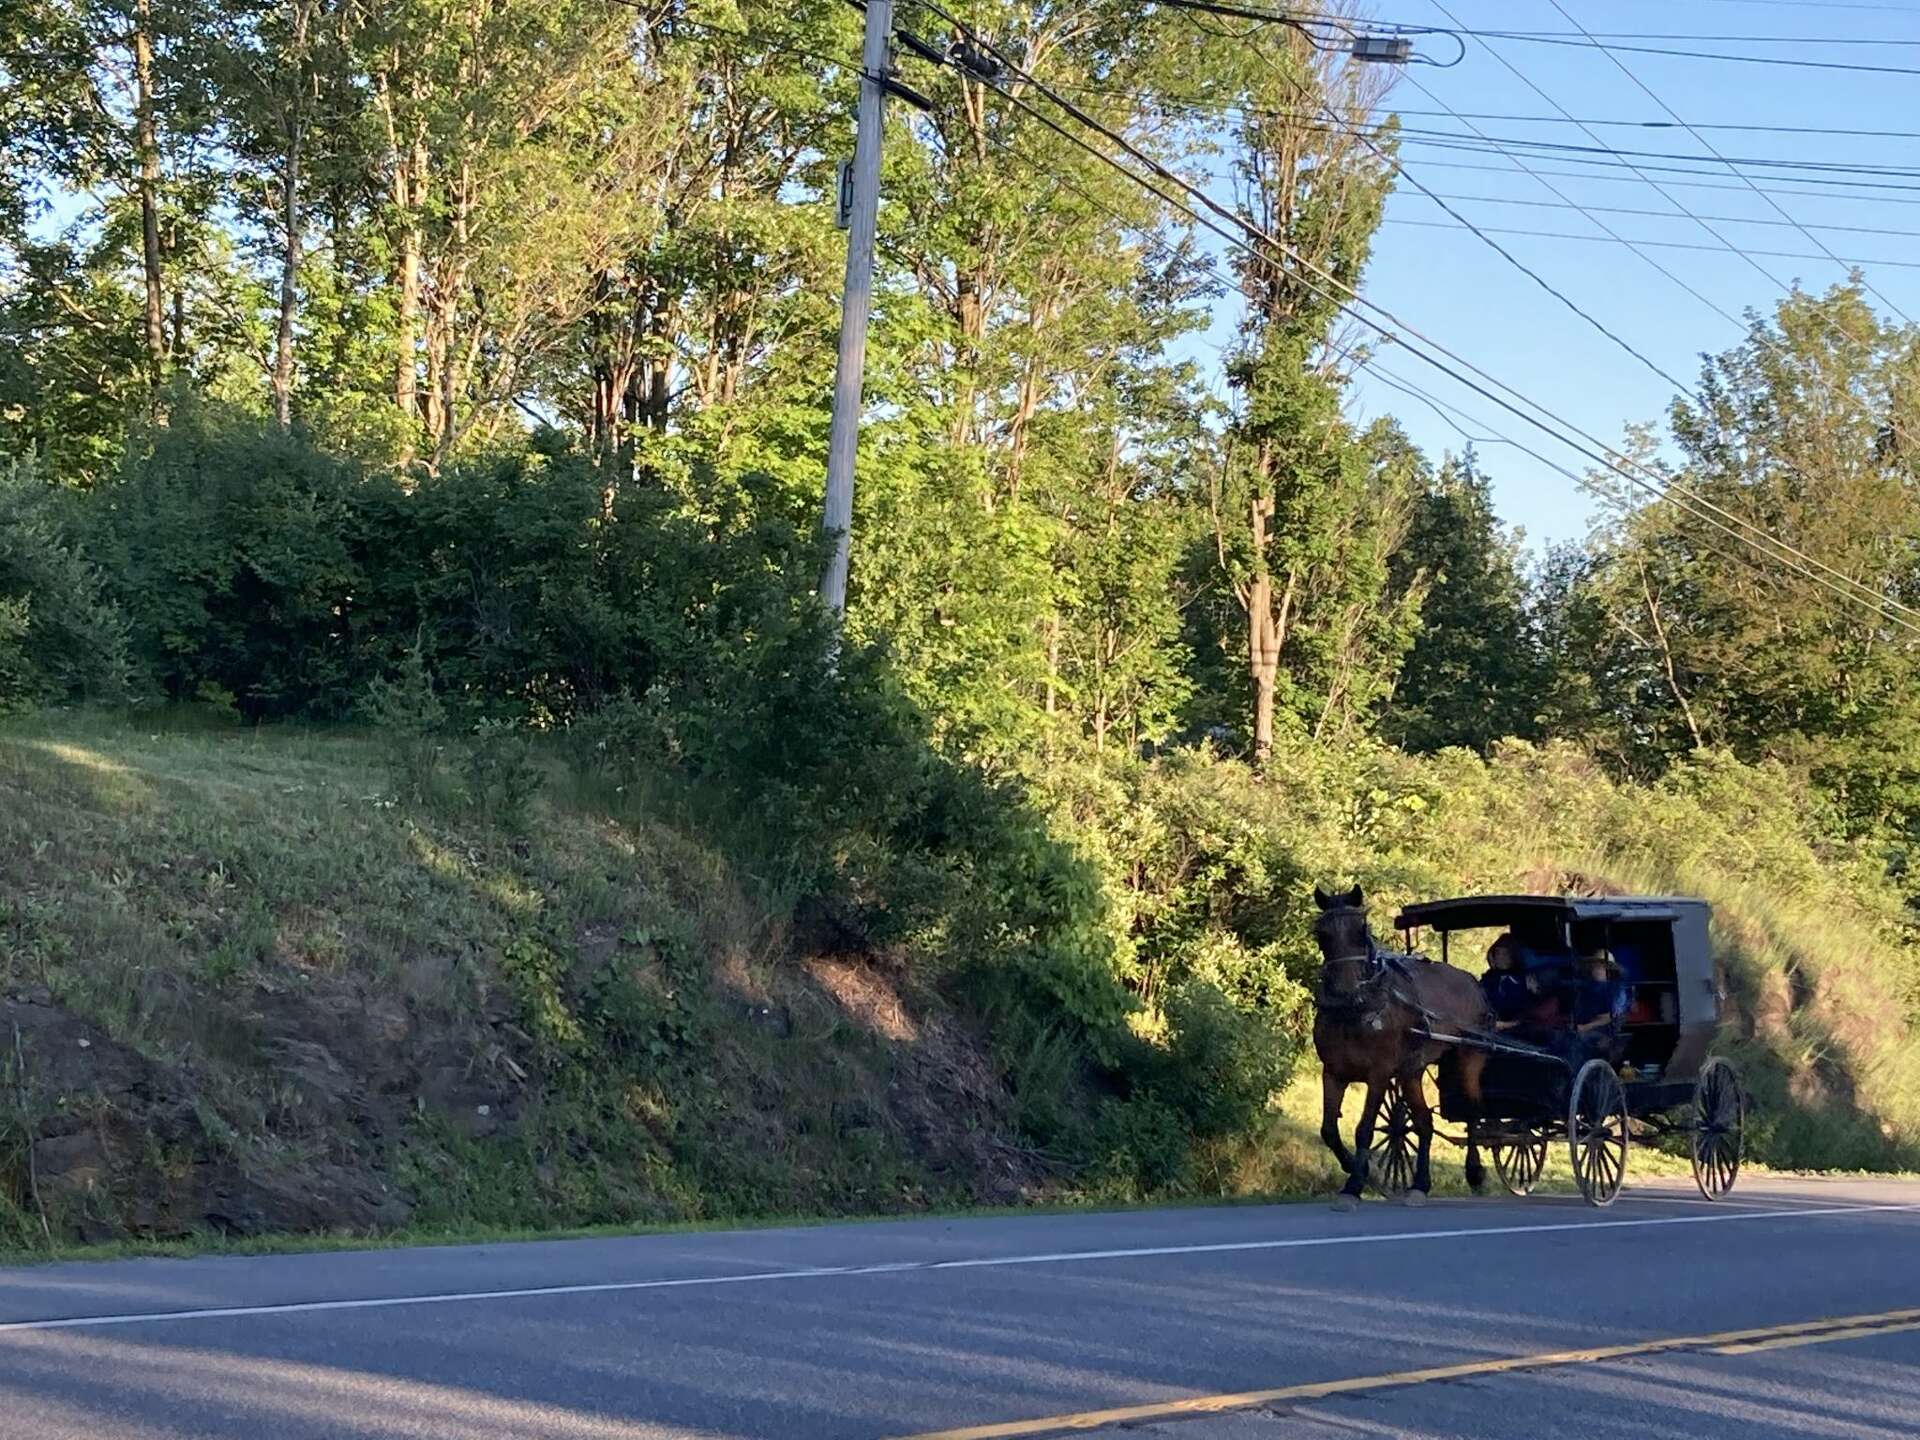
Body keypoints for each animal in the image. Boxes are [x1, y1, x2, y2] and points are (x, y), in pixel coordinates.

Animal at [1313, 890, 1489, 1205]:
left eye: (1361, 930)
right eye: (1321, 934)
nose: (1347, 992)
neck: (1356, 1013)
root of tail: (1472, 981)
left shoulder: (1379, 1074)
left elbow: (1364, 1129)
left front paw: (1353, 1185)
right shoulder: (1333, 1072)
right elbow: (1329, 1130)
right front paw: (1357, 1168)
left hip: (1469, 1056)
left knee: (1471, 1112)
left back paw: (1474, 1171)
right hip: (1411, 1072)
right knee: (1424, 1122)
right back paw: (1420, 1184)